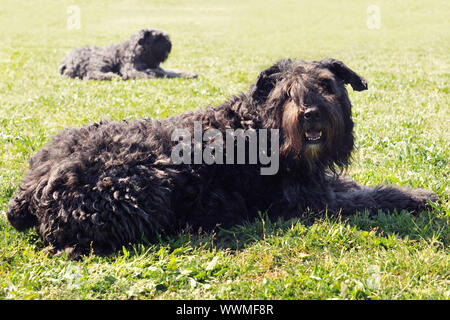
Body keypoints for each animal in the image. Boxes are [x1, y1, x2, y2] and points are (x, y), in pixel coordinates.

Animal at [7, 58, 438, 258]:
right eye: (286, 92)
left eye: (327, 85)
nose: (311, 113)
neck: (261, 126)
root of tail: (28, 191)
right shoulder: (312, 205)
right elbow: (368, 198)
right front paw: (415, 197)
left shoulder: (319, 184)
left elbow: (352, 185)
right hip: (144, 189)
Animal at [58, 28, 197, 80]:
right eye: (158, 38)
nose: (169, 43)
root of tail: (66, 61)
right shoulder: (131, 69)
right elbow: (150, 73)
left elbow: (173, 71)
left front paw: (189, 73)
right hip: (101, 61)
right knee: (91, 74)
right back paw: (113, 76)